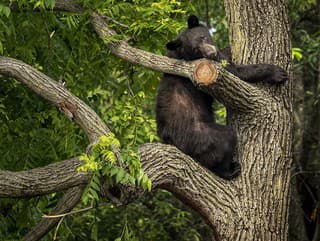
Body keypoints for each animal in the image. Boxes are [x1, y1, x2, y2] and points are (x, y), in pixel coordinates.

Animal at [156, 14, 288, 179]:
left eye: (203, 37)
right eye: (195, 49)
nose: (211, 53)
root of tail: (170, 140)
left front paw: (227, 49)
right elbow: (236, 72)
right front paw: (276, 73)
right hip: (200, 135)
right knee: (226, 140)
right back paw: (230, 170)